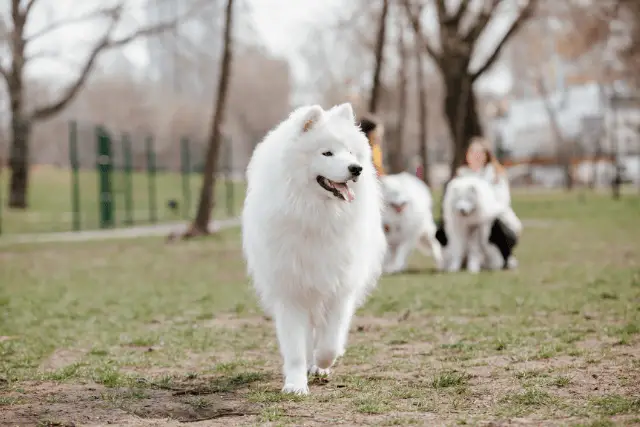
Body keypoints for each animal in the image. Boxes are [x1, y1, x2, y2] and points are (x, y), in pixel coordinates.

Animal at [242, 104, 388, 398]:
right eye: (327, 153)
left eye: (351, 153)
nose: (356, 169)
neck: (317, 215)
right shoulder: (290, 290)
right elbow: (296, 348)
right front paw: (296, 383)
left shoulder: (340, 287)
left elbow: (330, 341)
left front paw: (322, 363)